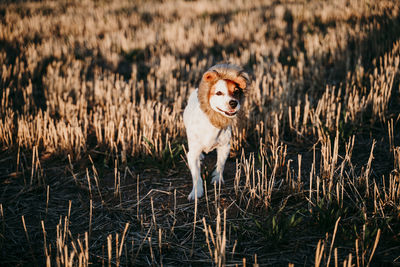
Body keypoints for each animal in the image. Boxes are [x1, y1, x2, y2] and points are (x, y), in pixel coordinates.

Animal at [184, 63, 250, 201]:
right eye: (219, 93)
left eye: (236, 91)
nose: (233, 103)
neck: (213, 123)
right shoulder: (192, 154)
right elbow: (196, 175)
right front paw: (196, 191)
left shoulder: (225, 147)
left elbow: (220, 164)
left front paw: (217, 178)